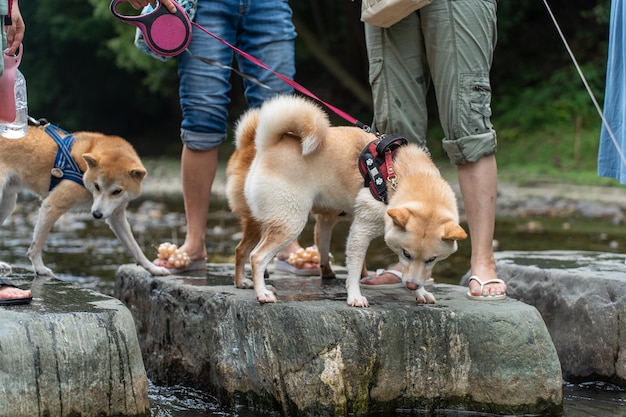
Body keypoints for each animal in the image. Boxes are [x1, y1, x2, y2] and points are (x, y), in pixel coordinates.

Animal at [0, 125, 171, 278]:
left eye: (117, 191)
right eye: (97, 186)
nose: (96, 215)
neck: (83, 170)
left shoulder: (116, 216)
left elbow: (135, 248)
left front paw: (153, 269)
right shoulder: (52, 205)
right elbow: (37, 244)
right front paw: (39, 268)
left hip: (8, 203)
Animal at [228, 96, 464, 308]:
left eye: (432, 259)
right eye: (406, 253)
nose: (413, 286)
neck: (399, 178)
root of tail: (267, 145)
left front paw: (421, 292)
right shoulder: (360, 231)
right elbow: (355, 270)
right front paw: (355, 297)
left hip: (271, 221)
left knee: (244, 251)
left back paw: (248, 283)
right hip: (290, 222)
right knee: (257, 256)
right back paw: (262, 293)